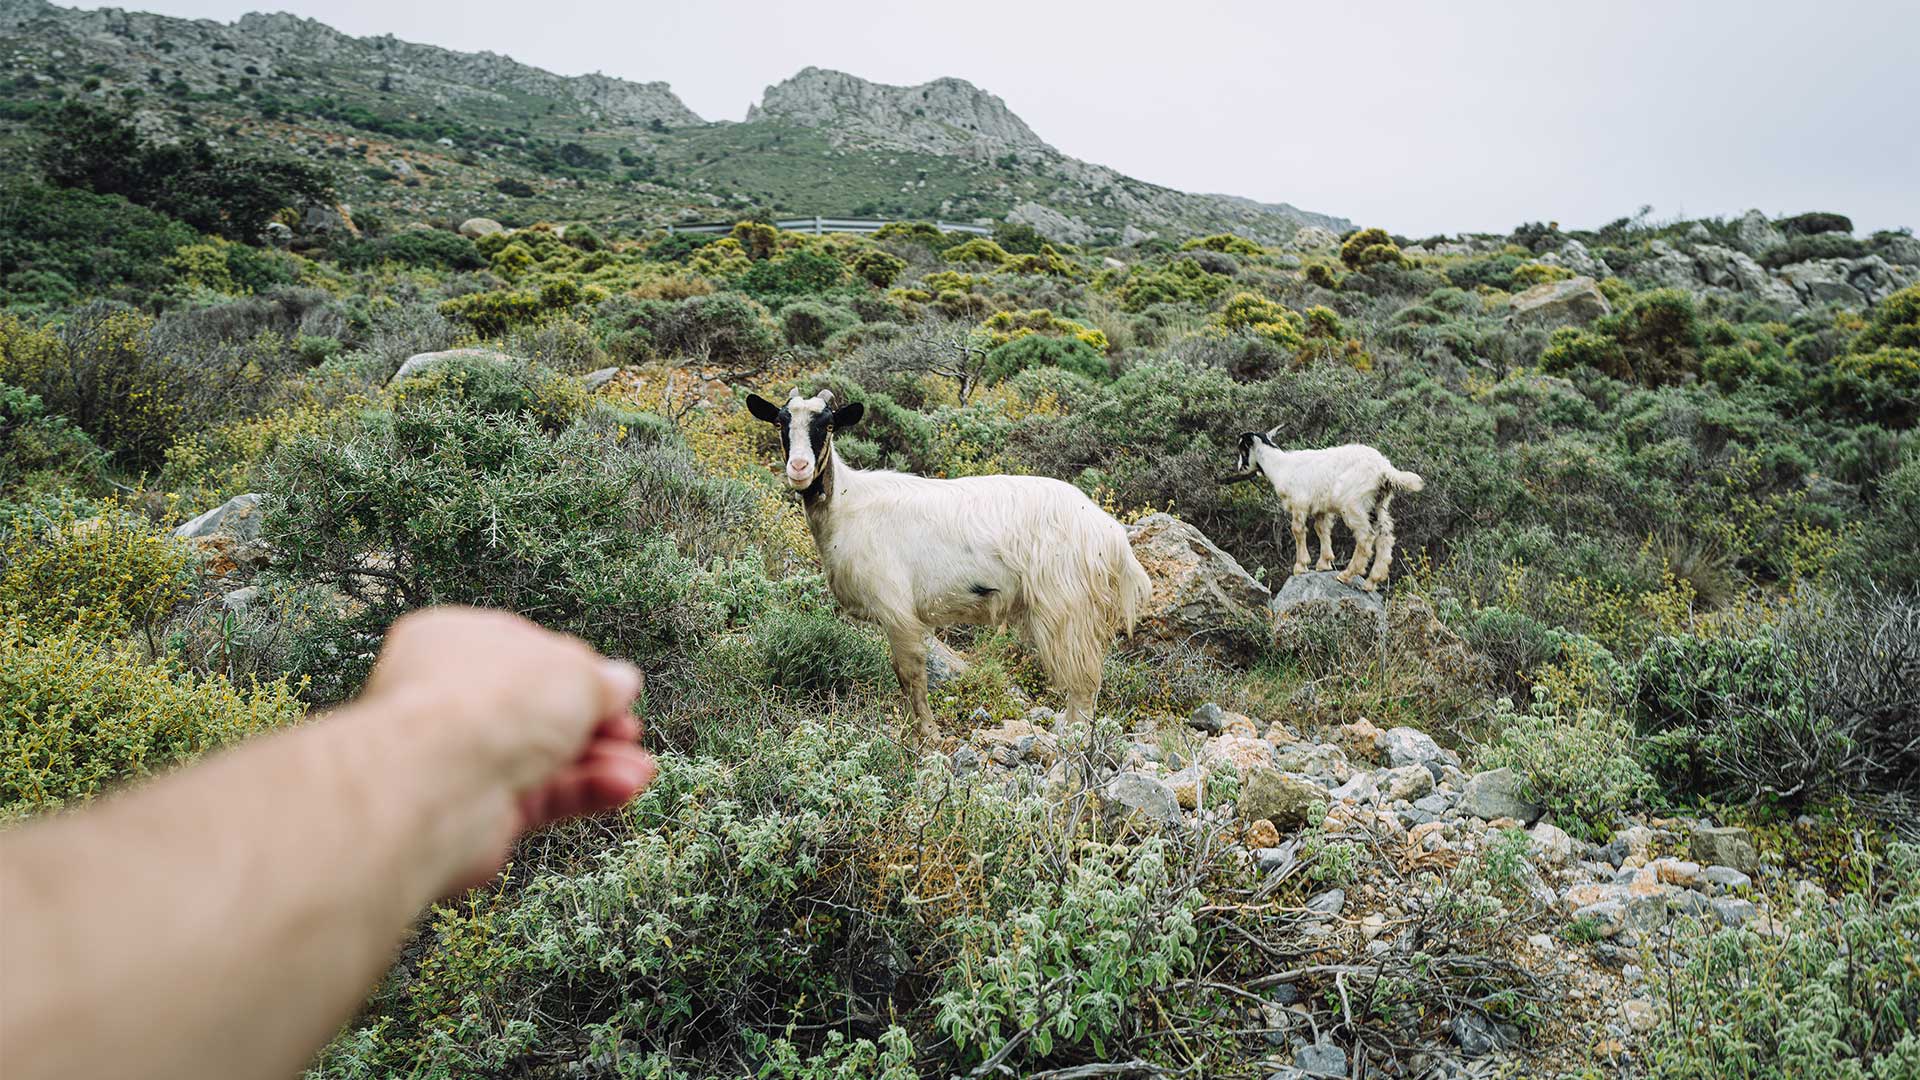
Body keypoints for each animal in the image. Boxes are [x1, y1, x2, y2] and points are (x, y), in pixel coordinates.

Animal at [741, 386, 1144, 737]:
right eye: (780, 422)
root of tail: (1110, 533)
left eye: (827, 425)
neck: (847, 505)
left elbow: (911, 675)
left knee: (1083, 687)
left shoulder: (898, 612)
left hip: (1067, 610)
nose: (799, 468)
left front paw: (927, 736)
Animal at [1228, 430, 1428, 588]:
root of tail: (1384, 469)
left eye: (1242, 449)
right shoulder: (1321, 508)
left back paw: (1347, 575)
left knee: (1366, 537)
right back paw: (1372, 581)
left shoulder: (1299, 503)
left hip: (1354, 504)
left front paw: (1301, 566)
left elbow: (1298, 530)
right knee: (1385, 537)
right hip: (1378, 505)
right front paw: (1324, 563)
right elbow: (1322, 529)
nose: (1239, 467)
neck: (1280, 465)